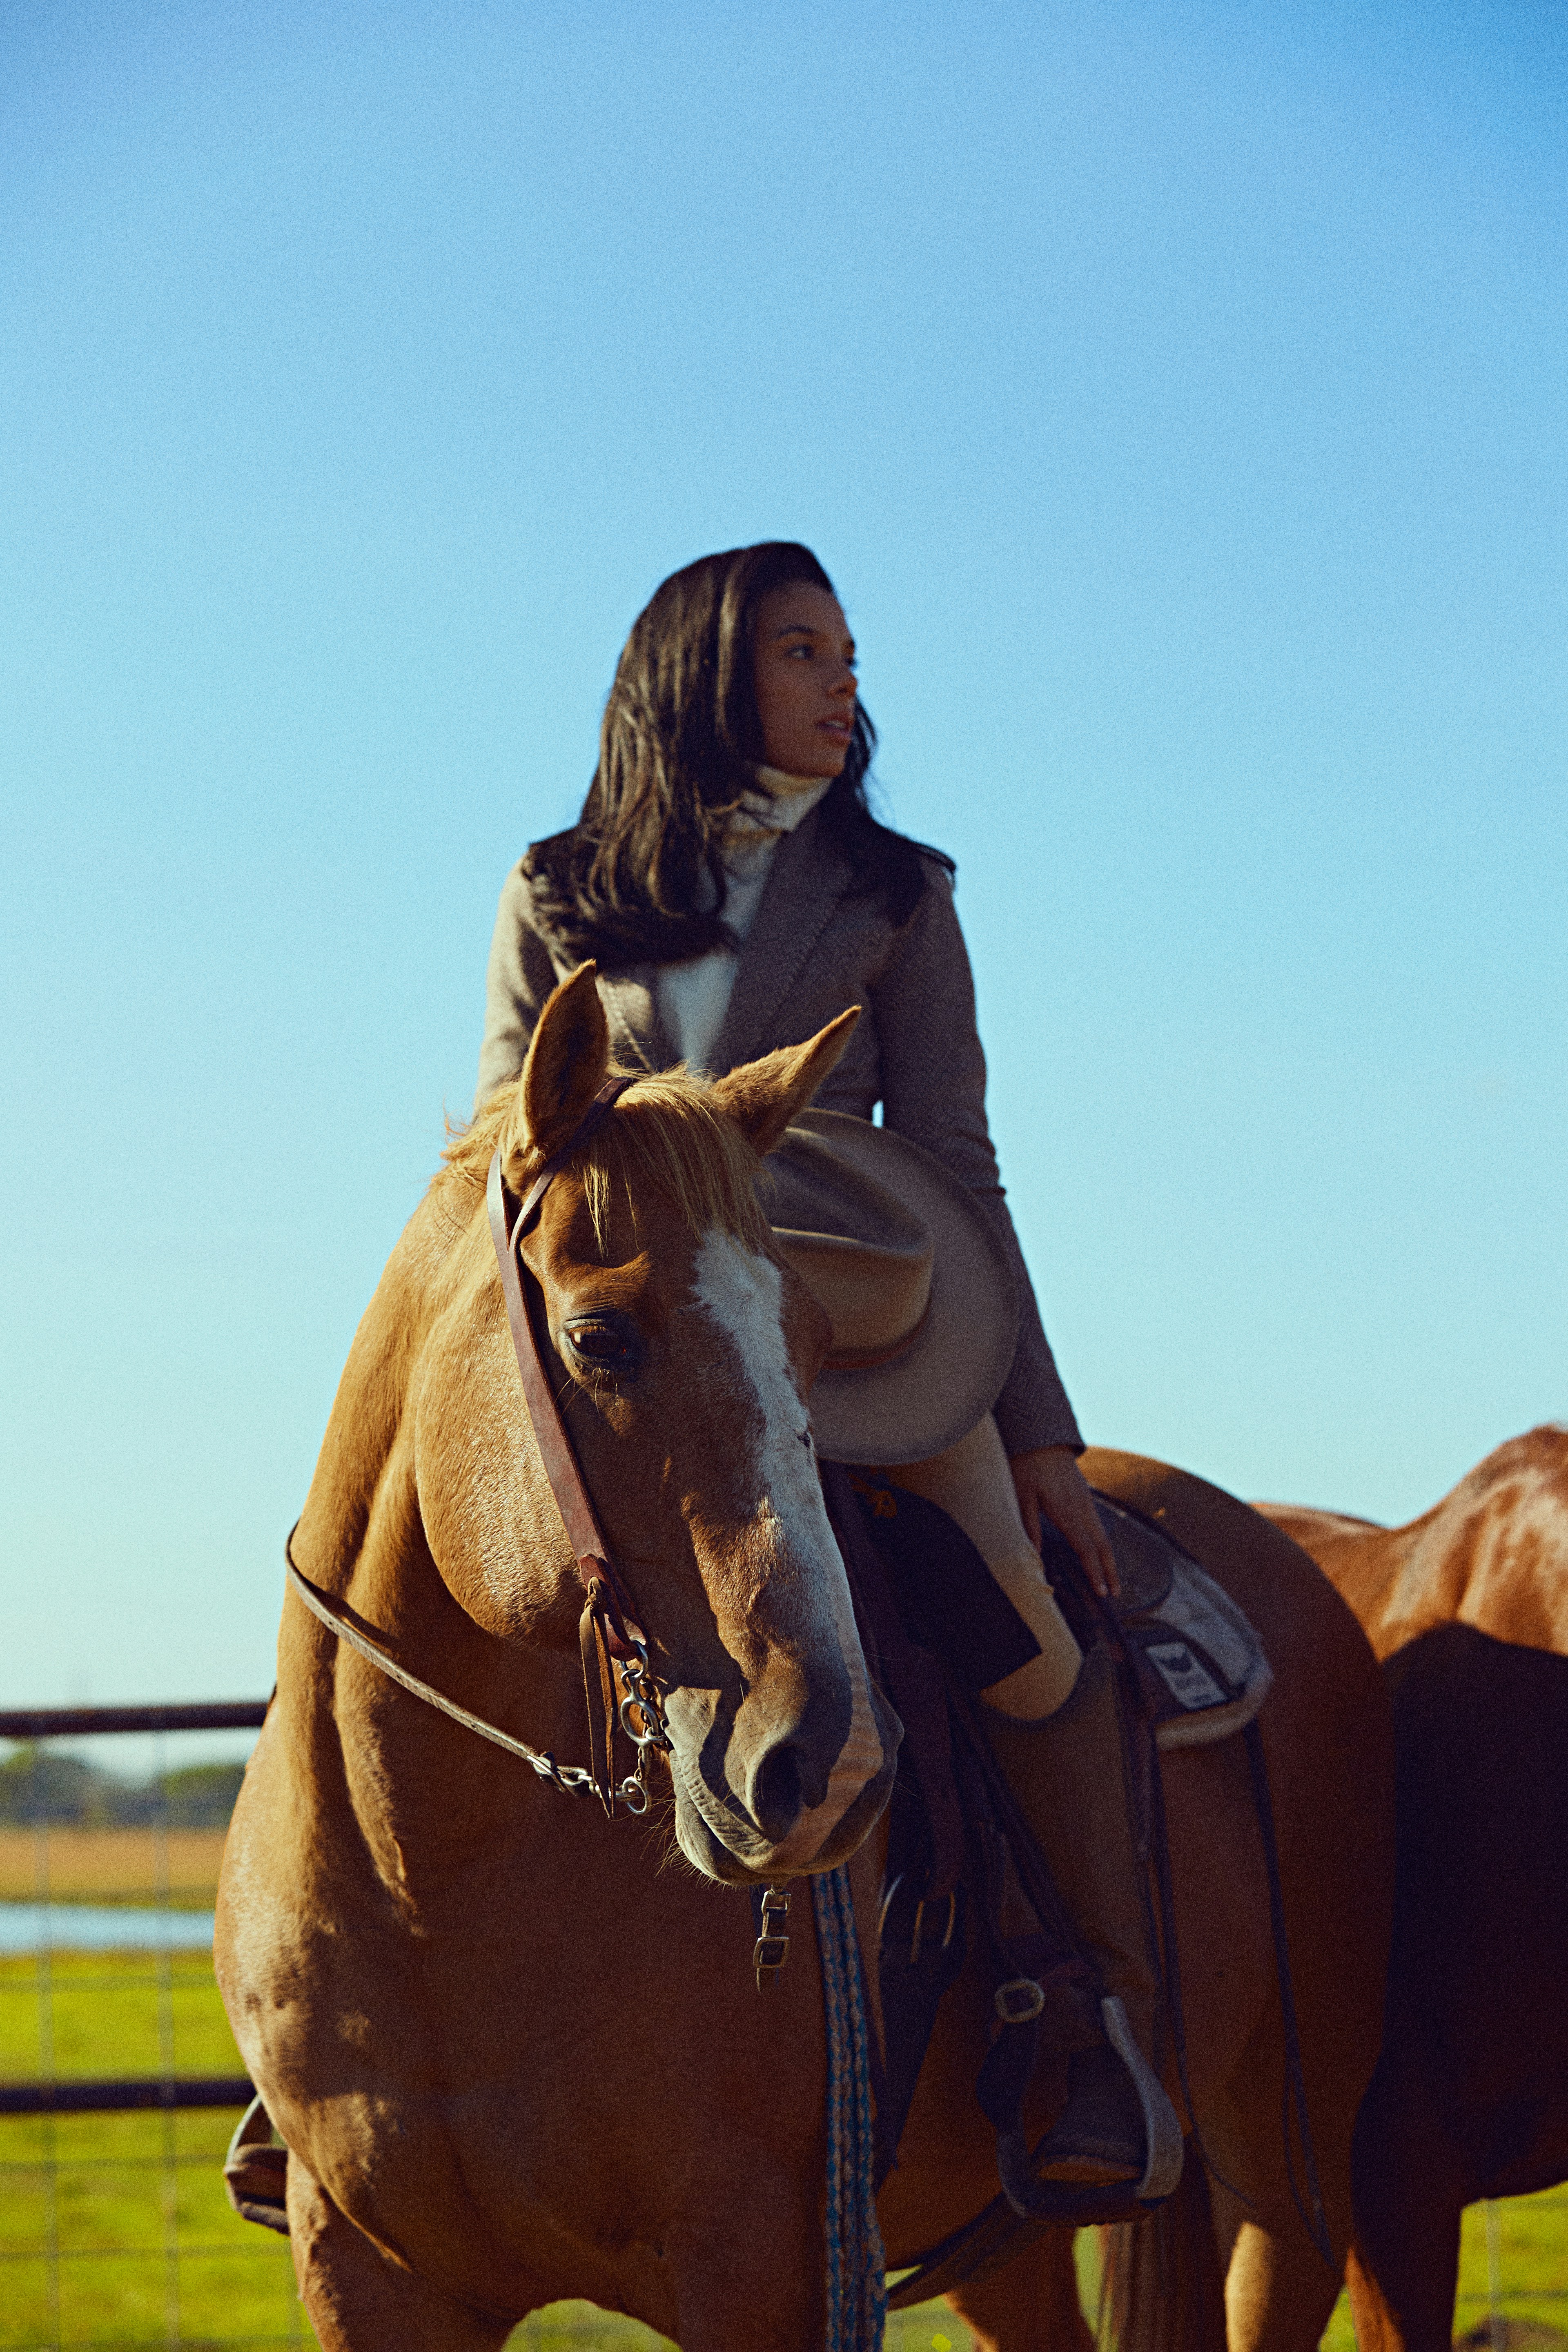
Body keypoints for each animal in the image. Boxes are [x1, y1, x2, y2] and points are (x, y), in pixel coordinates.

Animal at [216, 965, 1393, 2350]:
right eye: (601, 1337)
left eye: (823, 1350)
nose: (827, 1769)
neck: (427, 1880)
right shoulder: (369, 2276)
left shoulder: (763, 2268)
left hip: (1290, 2177)